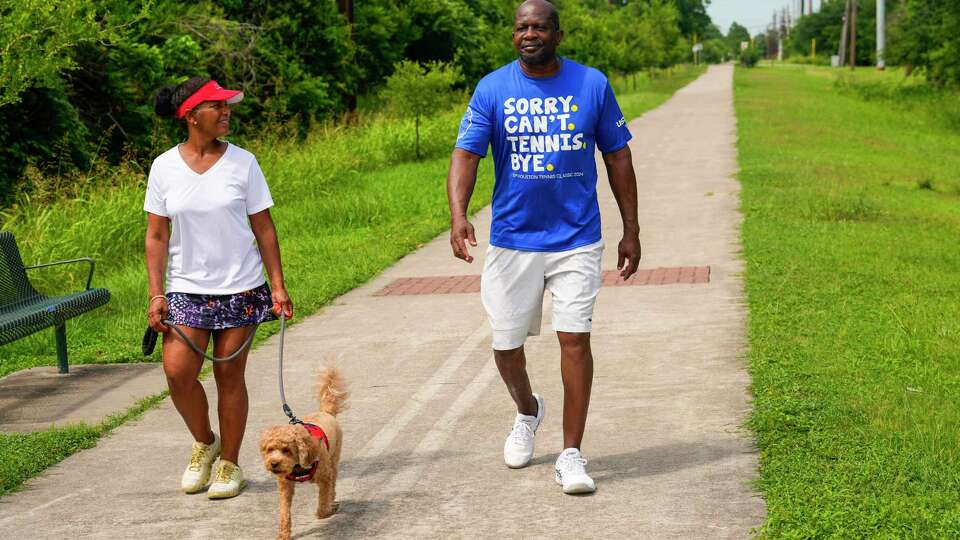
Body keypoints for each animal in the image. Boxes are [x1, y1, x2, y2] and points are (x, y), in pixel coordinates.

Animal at [260, 364, 346, 536]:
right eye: (270, 449)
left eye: (286, 450)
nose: (274, 464)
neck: (298, 466)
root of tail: (325, 412)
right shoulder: (285, 486)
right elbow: (284, 513)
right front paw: (283, 534)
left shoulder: (325, 477)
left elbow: (323, 505)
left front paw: (327, 510)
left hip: (333, 461)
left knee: (333, 485)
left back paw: (332, 502)